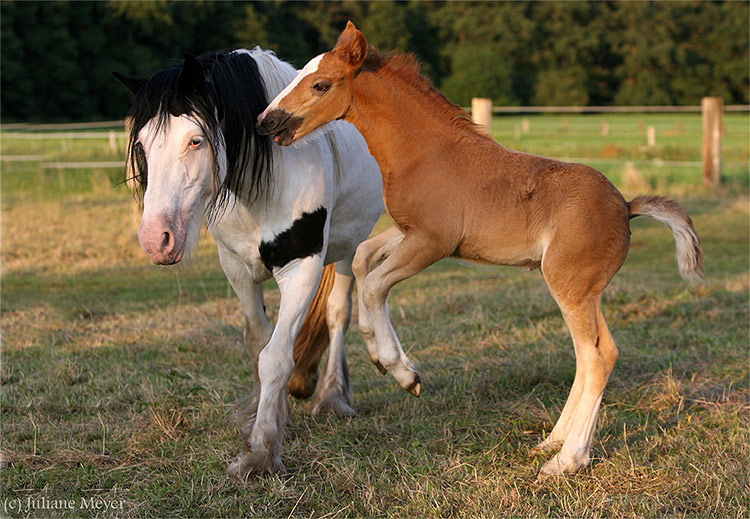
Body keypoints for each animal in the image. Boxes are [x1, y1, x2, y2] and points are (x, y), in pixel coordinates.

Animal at [114, 48, 384, 480]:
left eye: (195, 139)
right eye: (142, 143)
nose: (156, 239)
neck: (265, 182)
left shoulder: (302, 269)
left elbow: (276, 357)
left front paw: (259, 452)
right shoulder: (237, 269)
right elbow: (260, 344)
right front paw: (276, 420)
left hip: (347, 248)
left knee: (337, 313)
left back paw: (331, 397)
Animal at [258, 24, 704, 480]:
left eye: (320, 84)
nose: (267, 121)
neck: (425, 153)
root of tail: (626, 207)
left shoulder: (432, 242)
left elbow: (374, 285)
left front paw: (400, 371)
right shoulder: (410, 232)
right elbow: (365, 258)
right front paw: (391, 362)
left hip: (571, 286)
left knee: (598, 356)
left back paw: (566, 460)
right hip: (578, 290)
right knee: (590, 355)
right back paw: (552, 441)